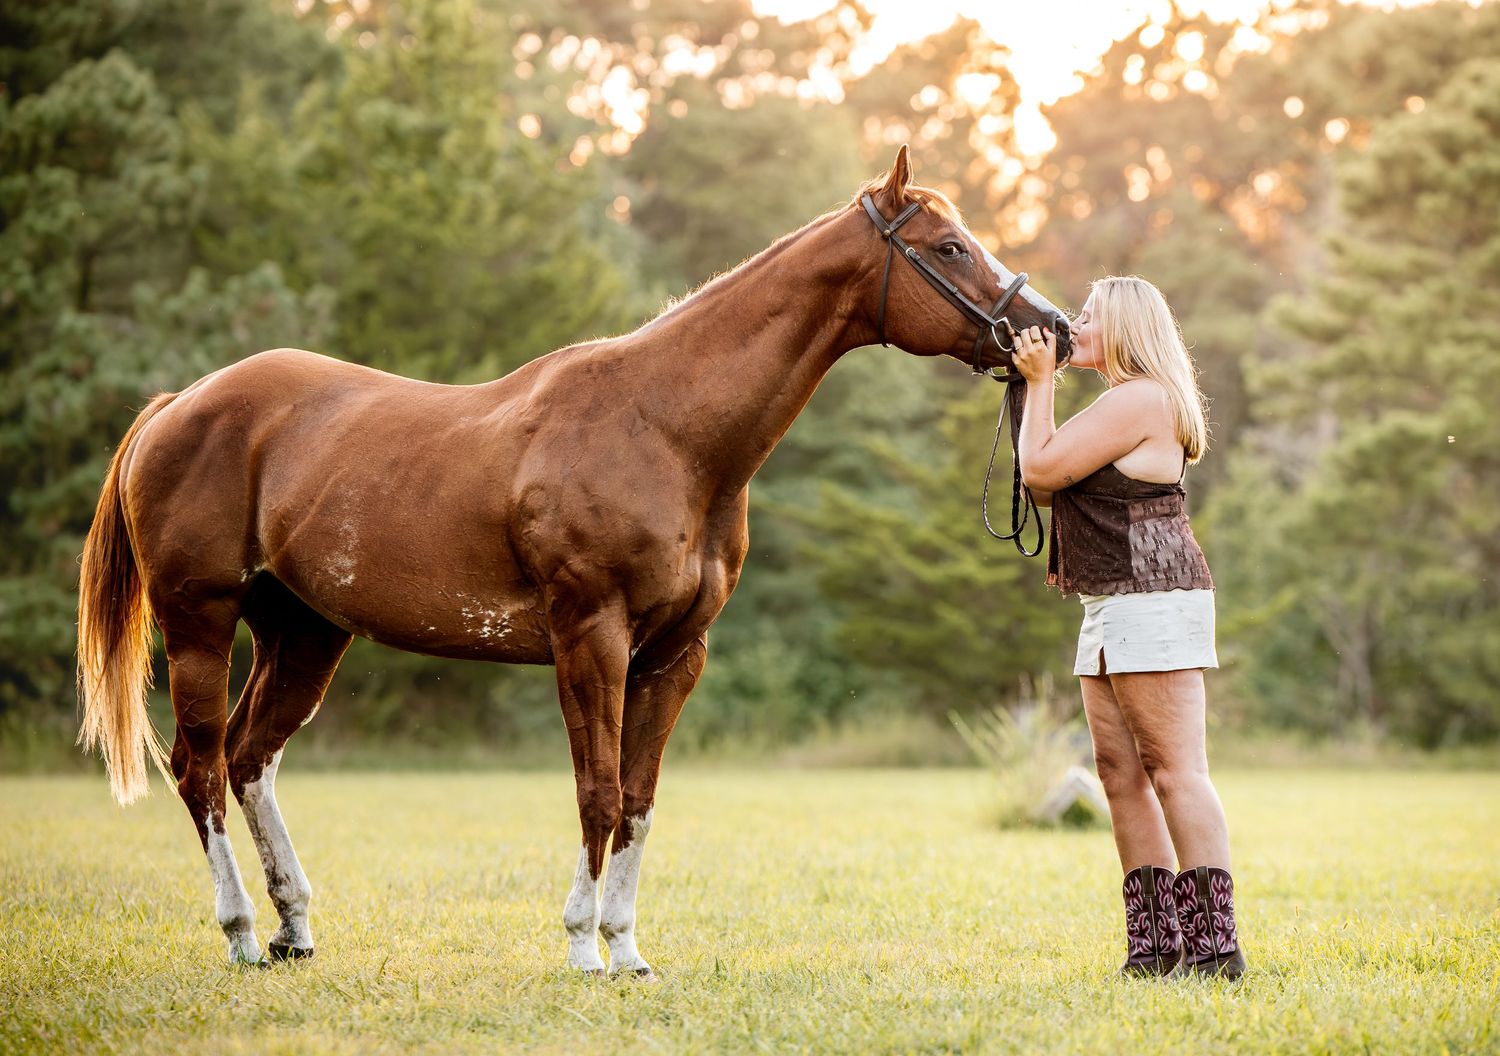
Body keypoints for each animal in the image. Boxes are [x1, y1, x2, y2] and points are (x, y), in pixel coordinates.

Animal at [76, 146, 1071, 976]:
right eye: (948, 247)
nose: (1050, 331)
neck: (665, 429)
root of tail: (179, 404)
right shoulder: (590, 638)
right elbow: (596, 793)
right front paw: (584, 949)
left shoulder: (674, 657)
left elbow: (638, 799)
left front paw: (627, 951)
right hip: (200, 623)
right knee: (201, 768)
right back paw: (243, 932)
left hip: (306, 634)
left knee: (251, 760)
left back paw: (294, 929)